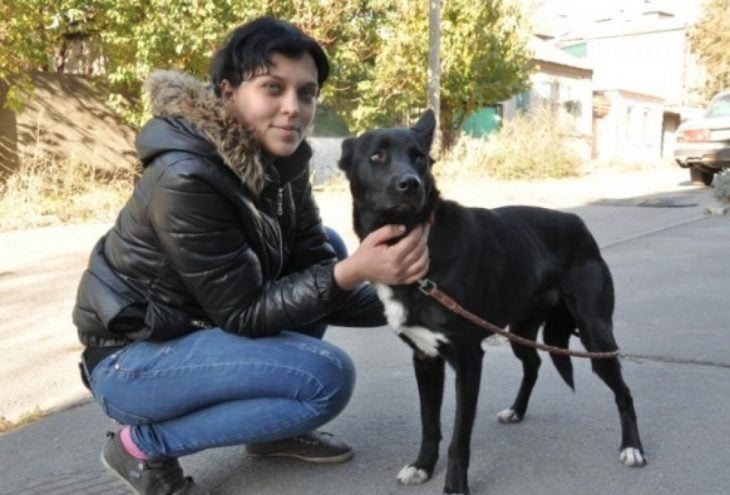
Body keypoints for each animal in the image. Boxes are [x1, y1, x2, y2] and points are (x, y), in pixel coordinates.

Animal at [336, 111, 644, 495]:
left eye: (420, 158)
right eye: (377, 156)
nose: (411, 184)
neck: (419, 241)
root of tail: (578, 222)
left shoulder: (469, 360)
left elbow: (459, 438)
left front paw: (455, 486)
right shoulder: (425, 360)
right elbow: (429, 424)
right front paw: (423, 466)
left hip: (595, 334)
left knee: (624, 391)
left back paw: (632, 447)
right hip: (520, 331)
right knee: (533, 364)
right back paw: (517, 410)